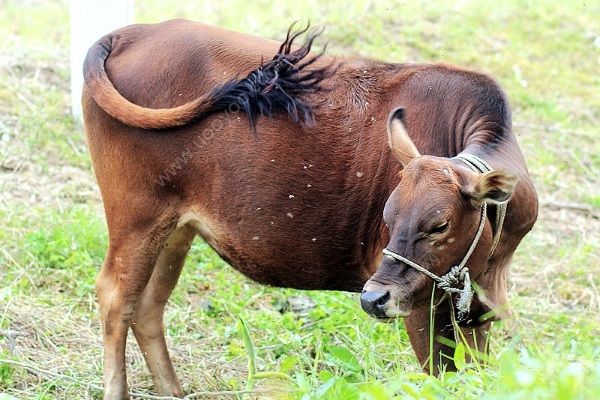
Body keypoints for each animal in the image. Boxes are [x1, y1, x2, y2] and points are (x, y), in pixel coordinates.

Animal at [82, 19, 536, 400]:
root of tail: (129, 33)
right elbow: (441, 375)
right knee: (116, 297)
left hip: (176, 227)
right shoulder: (422, 305)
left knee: (148, 304)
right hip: (137, 216)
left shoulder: (478, 306)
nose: (374, 298)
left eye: (439, 225)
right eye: (388, 218)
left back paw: (172, 391)